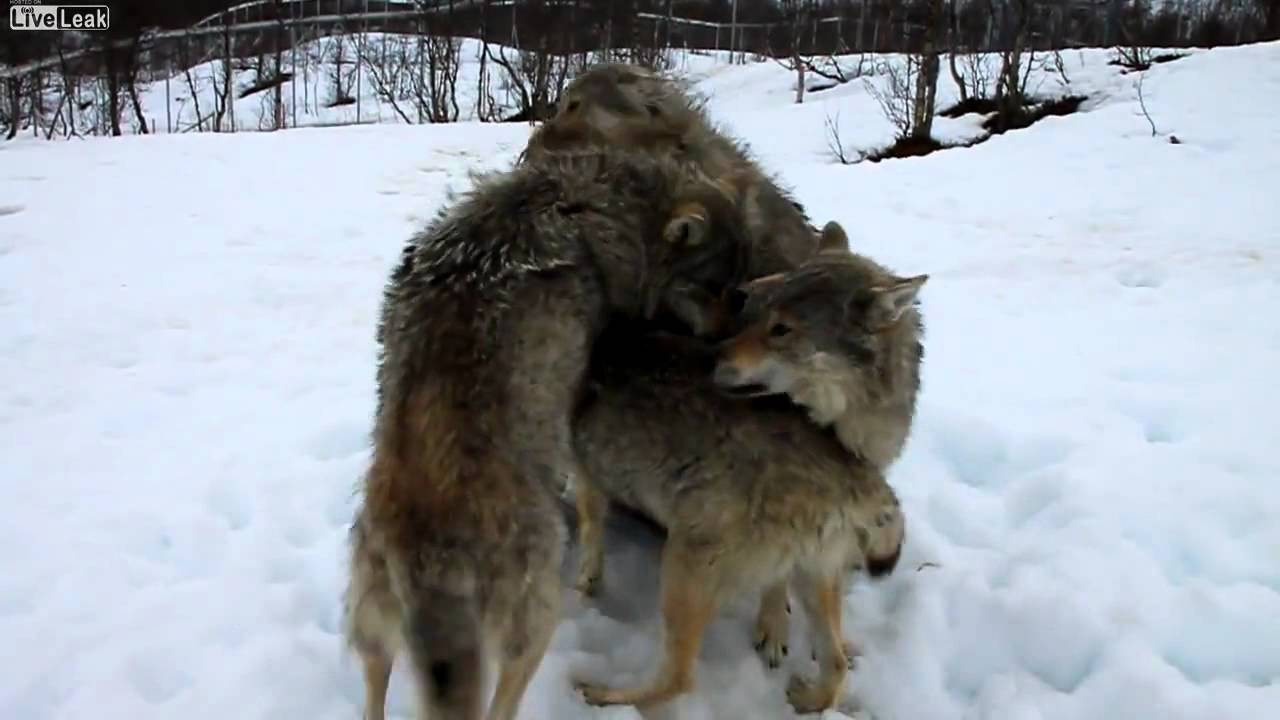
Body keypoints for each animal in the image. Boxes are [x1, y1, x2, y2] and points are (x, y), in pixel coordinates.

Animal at [345, 147, 762, 717]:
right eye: (714, 291)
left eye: (738, 292)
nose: (723, 346)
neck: (593, 204)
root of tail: (431, 556)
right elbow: (591, 506)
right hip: (533, 622)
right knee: (502, 700)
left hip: (372, 629)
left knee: (376, 686)